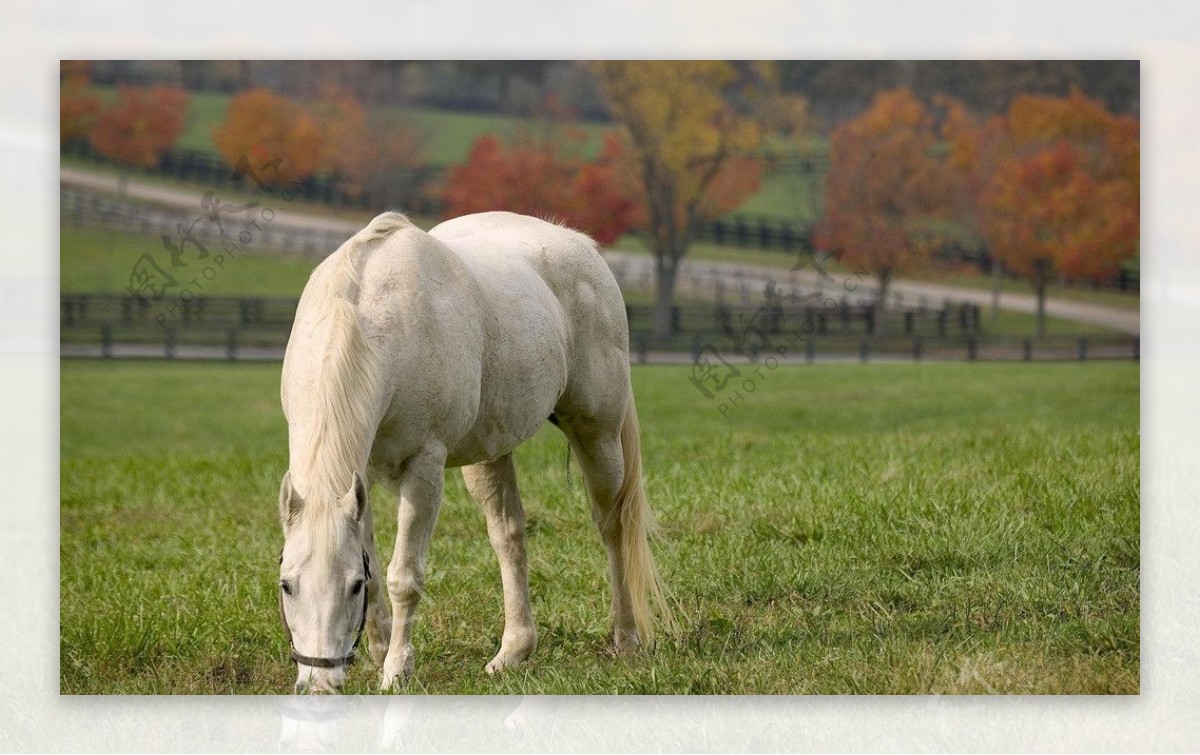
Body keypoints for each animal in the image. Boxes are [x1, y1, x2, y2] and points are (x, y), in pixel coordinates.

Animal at [277, 208, 672, 691]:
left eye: (351, 586)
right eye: (287, 585)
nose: (319, 683)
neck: (370, 321)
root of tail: (582, 245)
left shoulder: (424, 467)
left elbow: (403, 575)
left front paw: (396, 670)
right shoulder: (360, 475)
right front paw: (379, 653)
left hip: (598, 435)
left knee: (613, 525)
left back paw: (625, 636)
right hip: (491, 453)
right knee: (509, 535)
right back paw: (514, 651)